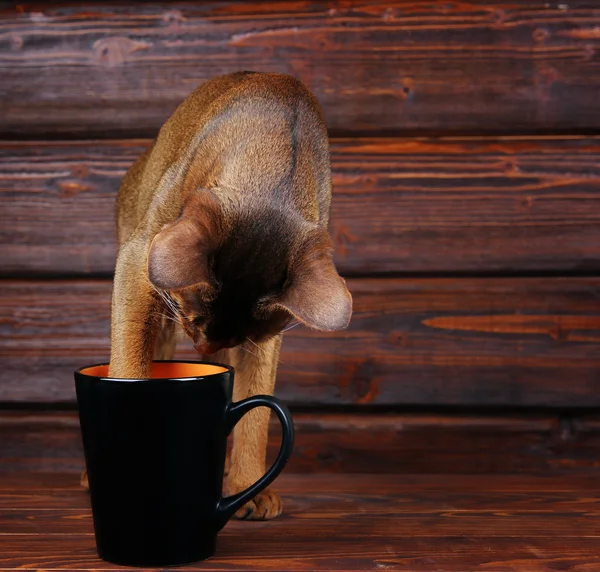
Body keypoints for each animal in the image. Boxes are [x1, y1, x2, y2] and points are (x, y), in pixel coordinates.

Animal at [90, 70, 352, 520]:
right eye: (193, 318)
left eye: (235, 336)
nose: (204, 347)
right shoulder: (139, 264)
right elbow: (129, 365)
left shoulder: (263, 342)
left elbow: (255, 409)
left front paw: (249, 487)